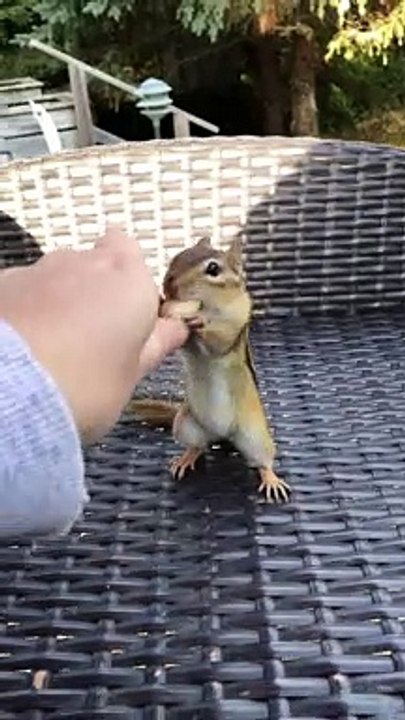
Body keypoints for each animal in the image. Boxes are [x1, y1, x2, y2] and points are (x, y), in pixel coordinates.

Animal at [129, 236, 291, 503]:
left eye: (213, 269)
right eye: (179, 255)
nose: (168, 284)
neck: (210, 307)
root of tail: (221, 435)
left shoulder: (233, 325)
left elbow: (218, 339)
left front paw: (199, 322)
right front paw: (163, 302)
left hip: (255, 436)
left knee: (263, 461)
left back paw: (271, 479)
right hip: (185, 424)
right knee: (199, 446)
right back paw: (185, 459)